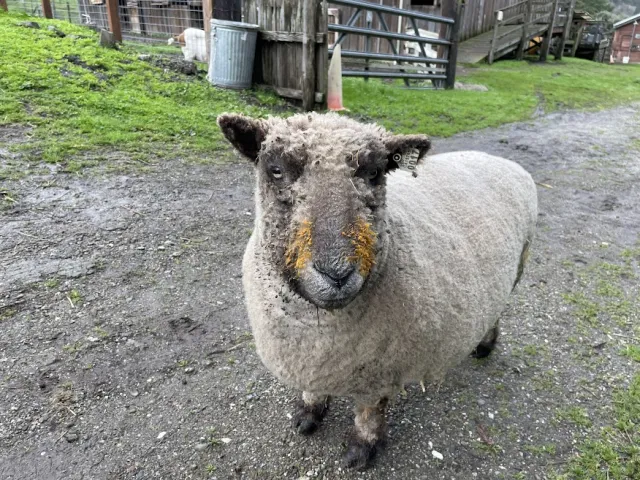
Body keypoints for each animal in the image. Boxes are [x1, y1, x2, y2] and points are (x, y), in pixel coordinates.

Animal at [217, 112, 538, 469]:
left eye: (373, 173)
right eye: (275, 169)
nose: (336, 273)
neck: (318, 326)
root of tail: (500, 159)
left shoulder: (380, 369)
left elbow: (370, 412)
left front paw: (362, 448)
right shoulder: (311, 361)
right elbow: (312, 393)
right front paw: (308, 414)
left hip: (519, 263)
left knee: (498, 311)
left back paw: (485, 345)